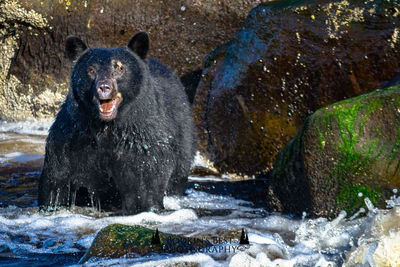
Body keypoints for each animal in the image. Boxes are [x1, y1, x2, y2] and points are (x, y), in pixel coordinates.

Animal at [39, 31, 197, 216]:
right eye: (91, 69)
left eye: (120, 68)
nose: (104, 87)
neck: (107, 127)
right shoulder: (72, 139)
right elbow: (56, 182)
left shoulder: (142, 143)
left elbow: (146, 183)